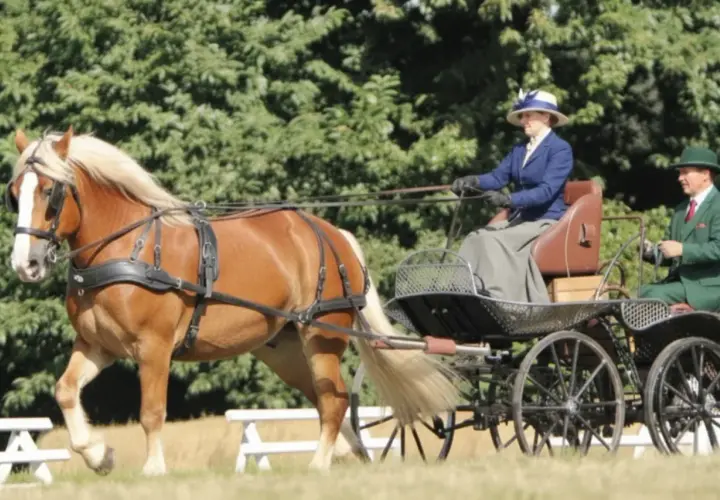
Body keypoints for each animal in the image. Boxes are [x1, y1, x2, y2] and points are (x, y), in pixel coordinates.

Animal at [5, 126, 461, 476]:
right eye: (14, 193)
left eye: (50, 192)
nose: (25, 264)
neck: (127, 248)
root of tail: (333, 234)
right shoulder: (98, 345)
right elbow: (65, 391)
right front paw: (100, 455)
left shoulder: (154, 348)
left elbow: (152, 411)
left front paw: (153, 469)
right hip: (284, 350)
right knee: (324, 398)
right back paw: (349, 454)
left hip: (321, 337)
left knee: (333, 401)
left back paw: (319, 463)